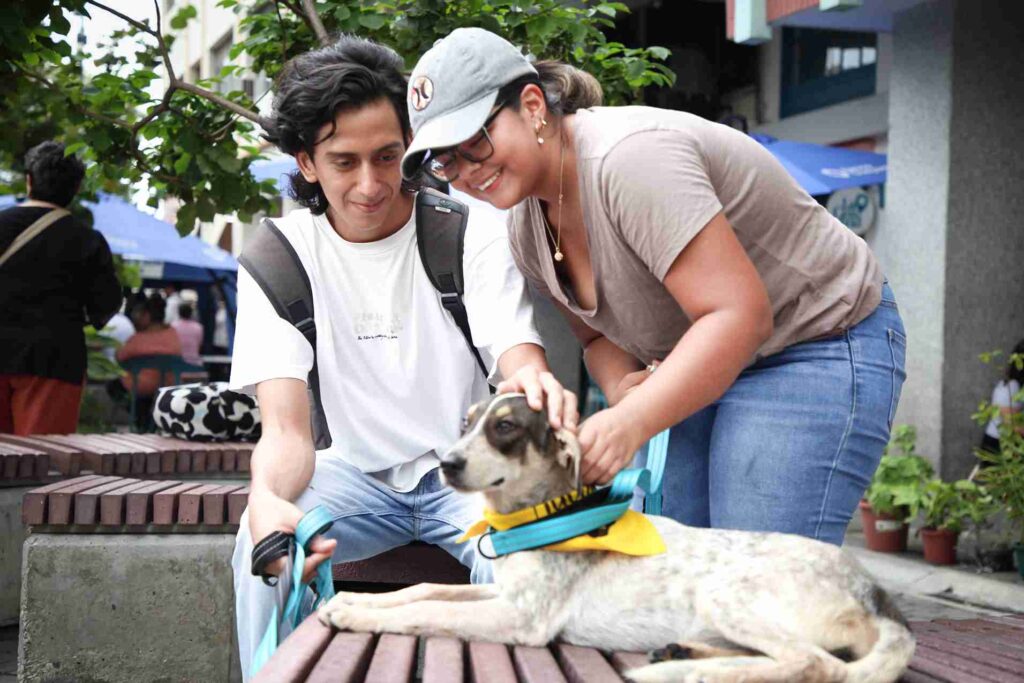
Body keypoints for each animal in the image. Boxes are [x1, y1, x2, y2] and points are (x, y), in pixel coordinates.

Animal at [317, 393, 913, 679]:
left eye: (505, 427)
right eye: (467, 424)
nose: (446, 463)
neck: (543, 515)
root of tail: (880, 597)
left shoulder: (522, 618)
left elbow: (430, 610)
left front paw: (356, 616)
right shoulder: (502, 592)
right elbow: (424, 589)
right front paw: (355, 602)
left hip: (729, 594)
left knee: (815, 665)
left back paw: (697, 673)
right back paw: (682, 652)